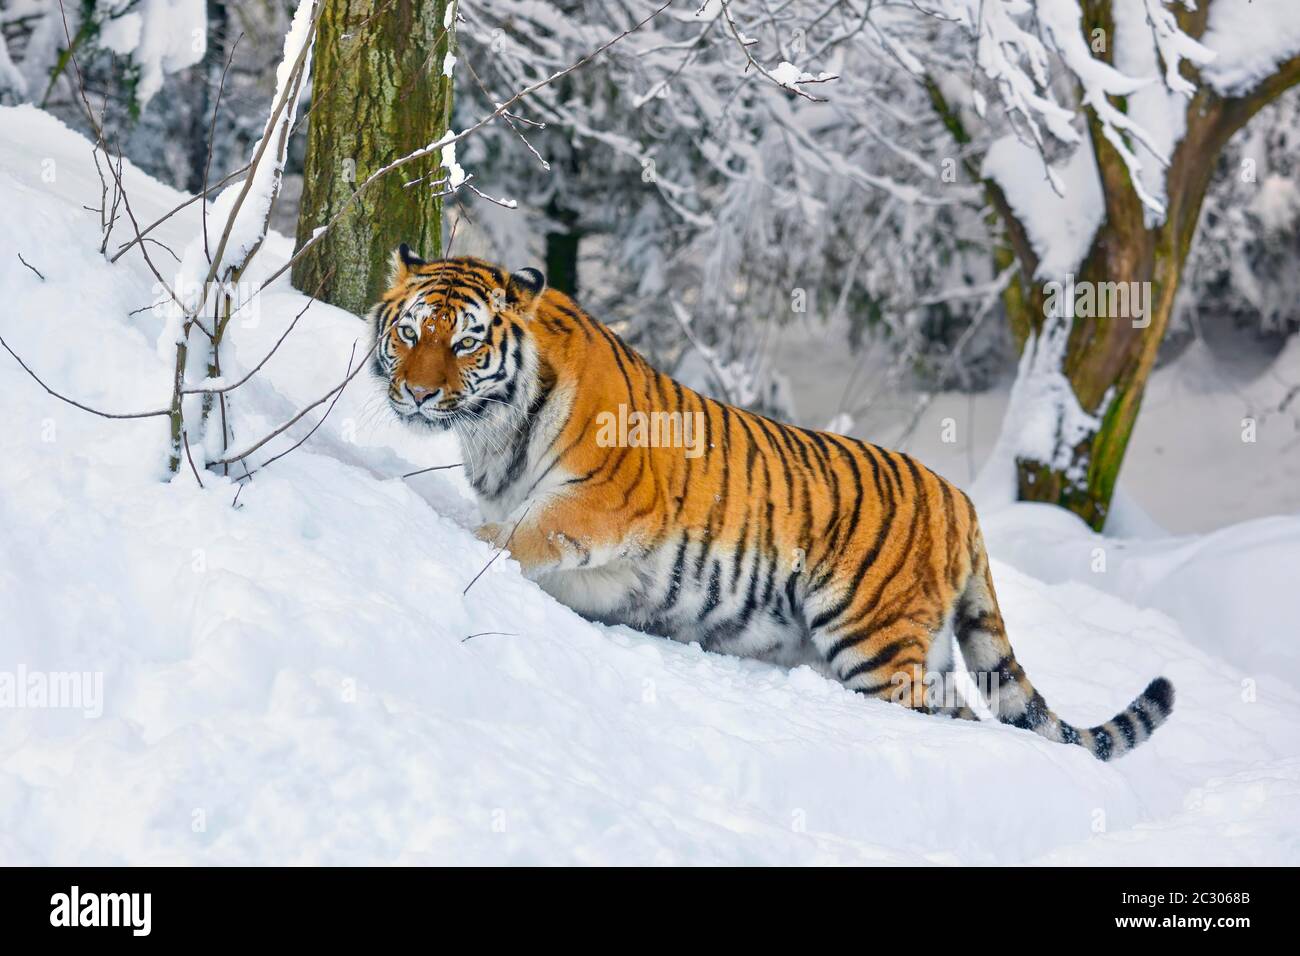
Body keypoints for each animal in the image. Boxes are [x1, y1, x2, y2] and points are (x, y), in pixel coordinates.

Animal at [371, 248, 1175, 764]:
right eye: (409, 333)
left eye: (467, 344)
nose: (416, 393)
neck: (492, 428)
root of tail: (962, 499)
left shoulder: (604, 503)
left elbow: (516, 536)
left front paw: (446, 534)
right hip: (925, 650)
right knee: (966, 715)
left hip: (873, 639)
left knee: (932, 718)